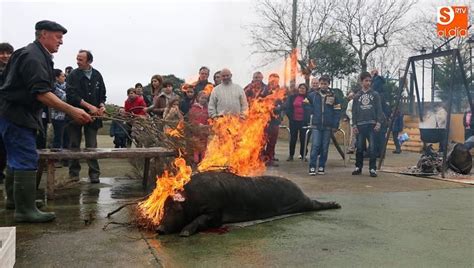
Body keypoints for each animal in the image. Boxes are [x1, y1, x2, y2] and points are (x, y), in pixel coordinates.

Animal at [154, 172, 338, 237]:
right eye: (164, 208)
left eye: (175, 209)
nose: (159, 229)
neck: (192, 199)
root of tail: (298, 188)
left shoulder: (215, 211)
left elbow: (202, 219)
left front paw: (184, 233)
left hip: (301, 202)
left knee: (314, 204)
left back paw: (336, 204)